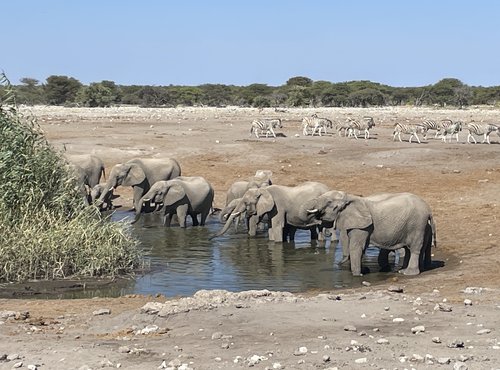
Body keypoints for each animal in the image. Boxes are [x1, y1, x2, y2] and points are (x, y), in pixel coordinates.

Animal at [304, 191, 434, 274]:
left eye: (329, 202)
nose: (338, 264)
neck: (348, 197)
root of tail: (428, 209)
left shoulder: (362, 226)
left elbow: (357, 247)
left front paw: (358, 274)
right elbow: (361, 247)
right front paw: (364, 271)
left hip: (417, 224)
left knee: (414, 248)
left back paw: (408, 273)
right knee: (409, 249)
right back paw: (402, 270)